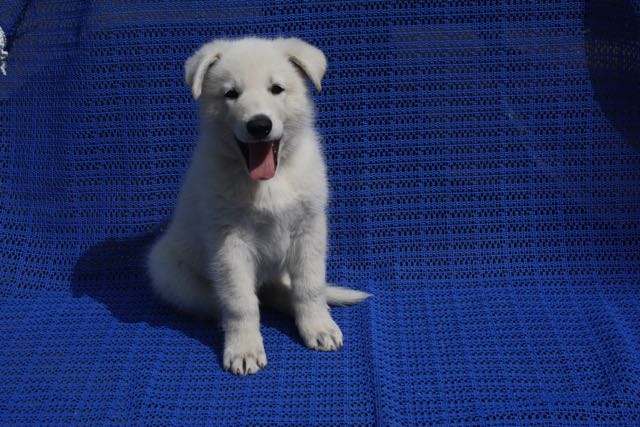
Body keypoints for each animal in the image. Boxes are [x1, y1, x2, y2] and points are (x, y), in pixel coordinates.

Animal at [147, 37, 371, 375]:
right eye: (231, 93)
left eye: (276, 89)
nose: (259, 125)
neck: (269, 181)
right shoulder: (229, 243)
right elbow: (241, 302)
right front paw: (245, 348)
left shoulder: (309, 230)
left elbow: (310, 286)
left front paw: (317, 326)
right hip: (172, 275)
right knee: (239, 301)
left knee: (282, 290)